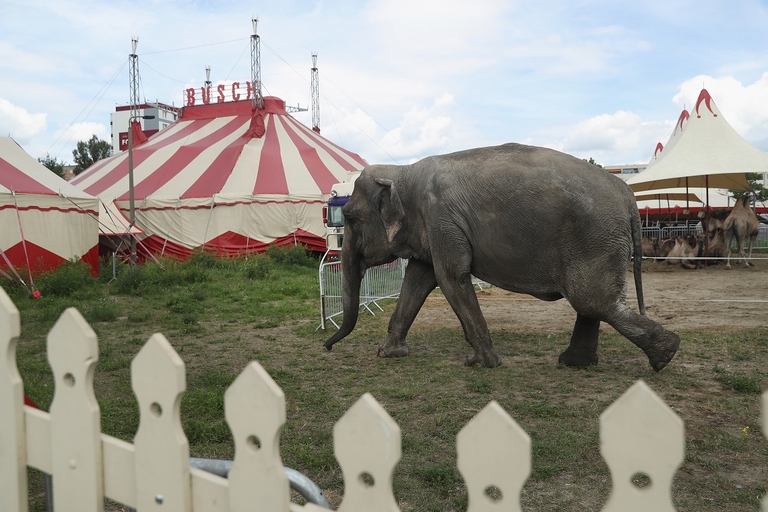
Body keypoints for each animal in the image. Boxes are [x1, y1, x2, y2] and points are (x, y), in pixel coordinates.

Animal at [324, 143, 680, 371]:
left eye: (351, 217)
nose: (326, 346)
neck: (403, 172)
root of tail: (627, 194)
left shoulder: (441, 220)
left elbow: (450, 276)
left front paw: (480, 364)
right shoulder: (430, 227)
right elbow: (418, 279)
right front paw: (388, 354)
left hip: (595, 238)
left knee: (593, 300)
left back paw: (666, 356)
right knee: (592, 303)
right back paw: (576, 363)